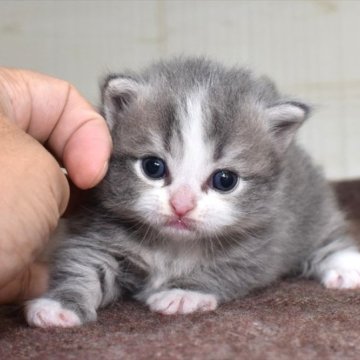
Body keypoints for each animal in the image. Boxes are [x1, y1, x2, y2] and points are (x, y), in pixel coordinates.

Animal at [25, 57, 360, 328]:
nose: (181, 204)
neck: (174, 245)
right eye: (153, 167)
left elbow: (221, 272)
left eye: (225, 180)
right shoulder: (98, 231)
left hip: (310, 204)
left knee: (327, 237)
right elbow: (83, 265)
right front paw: (60, 305)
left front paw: (183, 292)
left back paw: (345, 266)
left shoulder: (260, 249)